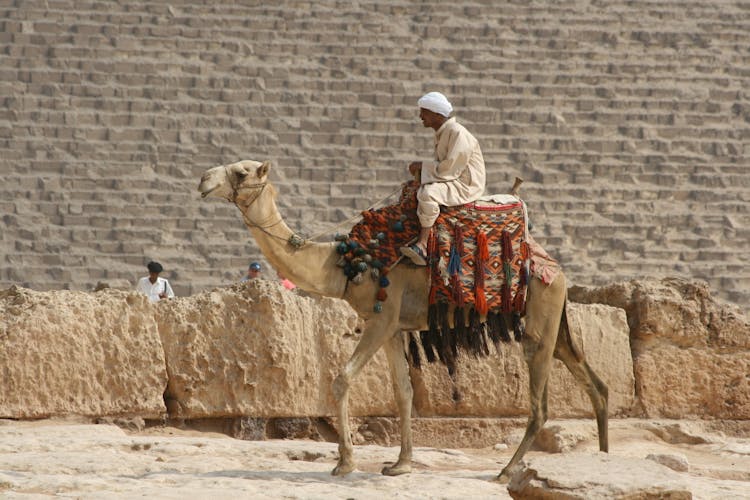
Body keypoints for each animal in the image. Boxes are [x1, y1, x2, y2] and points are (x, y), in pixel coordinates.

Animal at [197, 159, 608, 480]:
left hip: (539, 320)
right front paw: (400, 464)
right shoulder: (393, 327)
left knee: (540, 406)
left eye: (241, 171)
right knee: (596, 384)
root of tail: (555, 268)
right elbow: (403, 391)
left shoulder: (381, 318)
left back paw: (507, 471)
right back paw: (602, 461)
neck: (346, 263)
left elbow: (342, 379)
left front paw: (344, 463)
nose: (203, 180)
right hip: (556, 325)